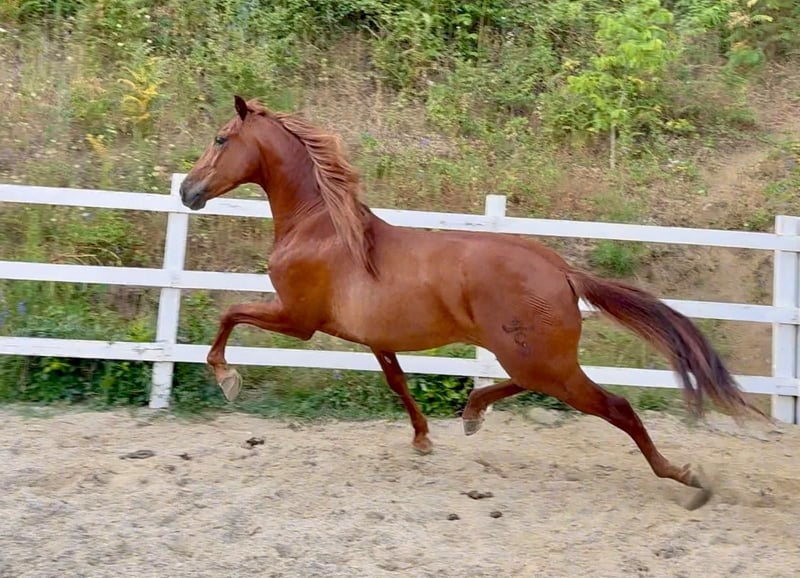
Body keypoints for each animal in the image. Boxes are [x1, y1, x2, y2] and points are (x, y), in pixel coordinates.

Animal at [179, 95, 767, 508]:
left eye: (220, 138)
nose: (186, 191)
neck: (321, 228)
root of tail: (563, 270)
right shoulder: (375, 338)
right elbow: (398, 381)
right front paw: (422, 439)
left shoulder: (299, 320)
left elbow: (229, 314)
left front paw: (227, 379)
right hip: (535, 356)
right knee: (526, 384)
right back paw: (473, 412)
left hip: (543, 360)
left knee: (615, 407)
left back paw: (688, 478)